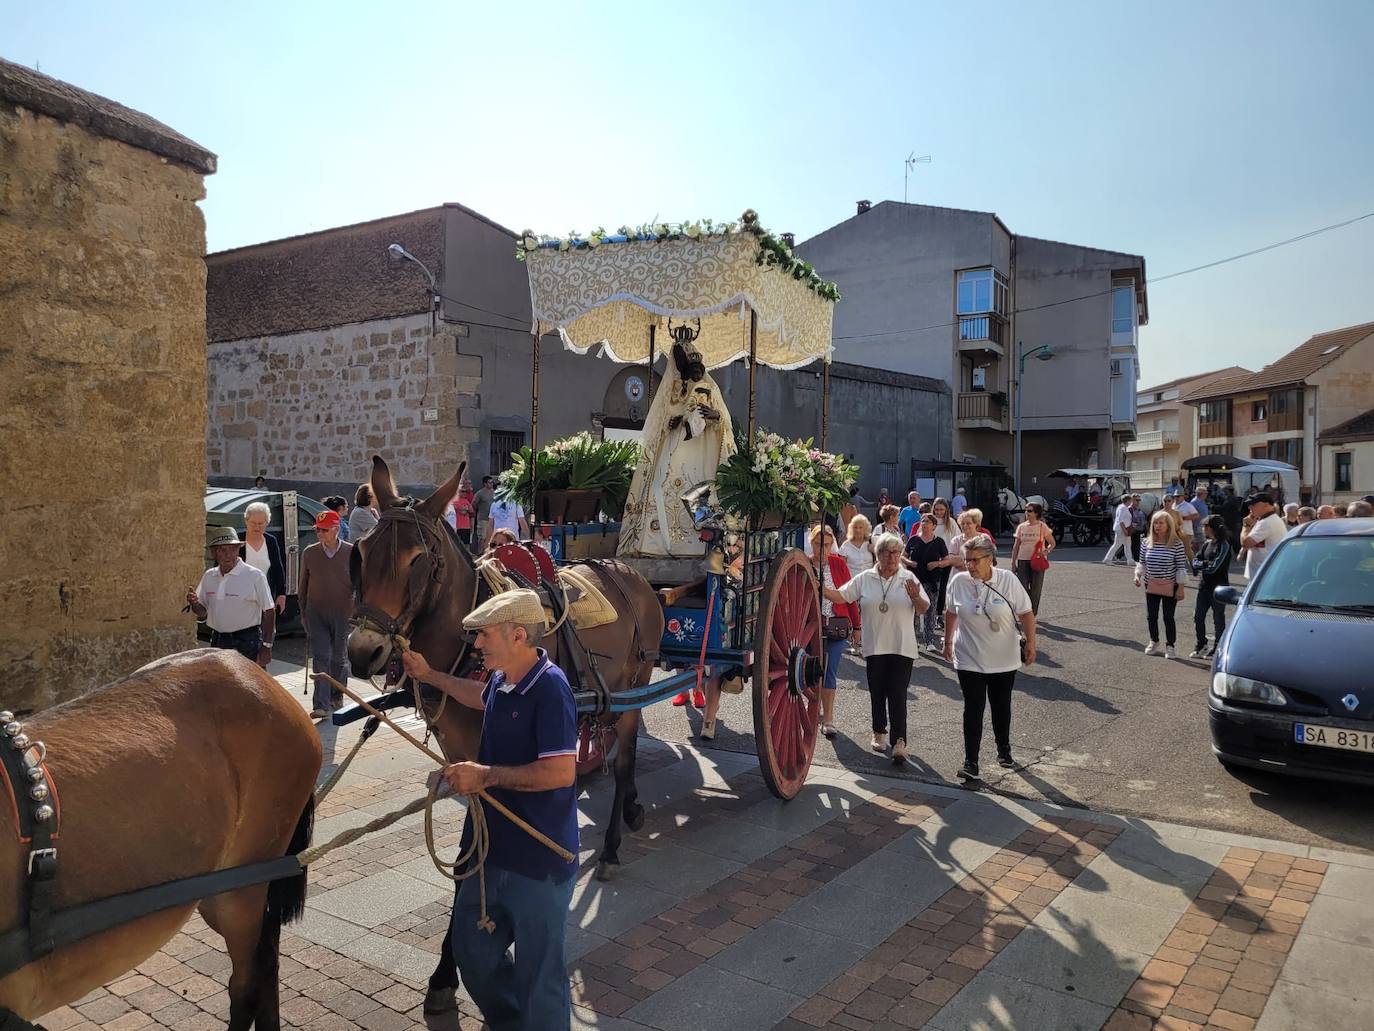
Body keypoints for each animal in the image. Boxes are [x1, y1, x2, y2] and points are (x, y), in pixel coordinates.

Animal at [346, 456, 662, 1006]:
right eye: (361, 552)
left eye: (417, 561)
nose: (363, 653)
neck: (467, 639)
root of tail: (630, 573)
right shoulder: (459, 756)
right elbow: (475, 845)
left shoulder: (481, 756)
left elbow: (472, 848)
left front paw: (447, 968)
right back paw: (628, 808)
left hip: (635, 687)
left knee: (624, 762)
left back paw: (612, 844)